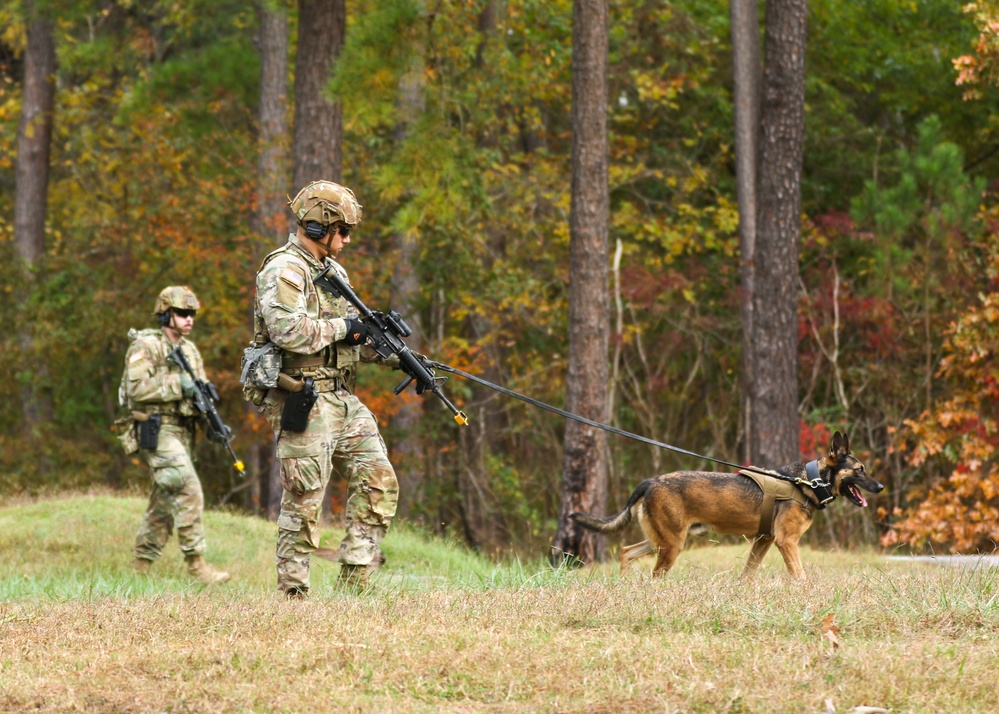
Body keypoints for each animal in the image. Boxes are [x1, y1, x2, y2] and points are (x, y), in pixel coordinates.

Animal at [572, 432, 884, 576]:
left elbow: (748, 574)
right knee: (653, 573)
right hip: (671, 545)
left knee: (626, 552)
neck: (808, 481)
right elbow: (800, 575)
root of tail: (650, 481)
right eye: (860, 470)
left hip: (661, 540)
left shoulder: (763, 541)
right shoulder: (786, 542)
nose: (881, 487)